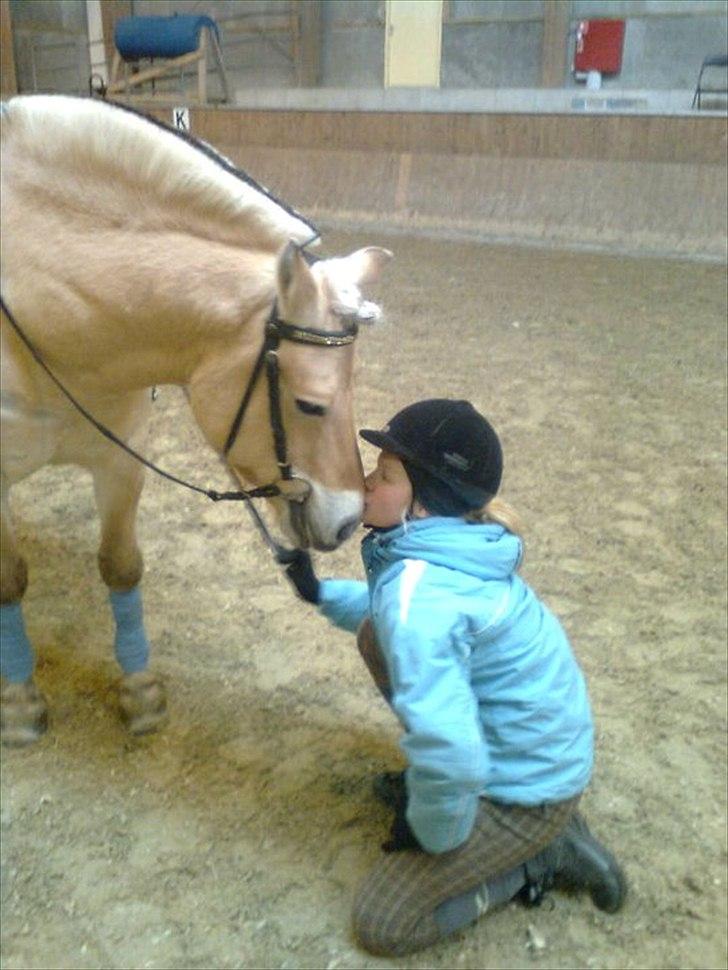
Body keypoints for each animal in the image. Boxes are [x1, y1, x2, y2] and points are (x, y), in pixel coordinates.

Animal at [1, 94, 392, 744]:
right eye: (310, 404)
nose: (347, 523)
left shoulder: (119, 457)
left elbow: (121, 566)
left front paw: (140, 691)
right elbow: (9, 579)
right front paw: (18, 704)